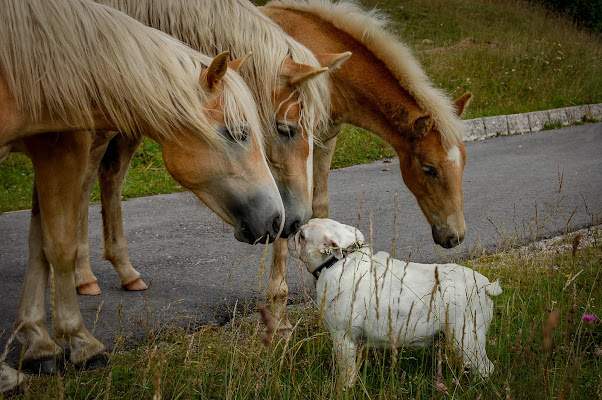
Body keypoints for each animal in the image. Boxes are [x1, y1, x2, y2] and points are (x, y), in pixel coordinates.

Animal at [0, 0, 282, 388]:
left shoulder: (52, 147)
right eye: (239, 132)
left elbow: (39, 244)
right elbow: (59, 246)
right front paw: (79, 343)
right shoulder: (64, 149)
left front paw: (40, 345)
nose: (279, 219)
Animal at [258, 0, 474, 332]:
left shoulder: (325, 140)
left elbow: (318, 206)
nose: (455, 237)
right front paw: (280, 323)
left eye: (463, 163)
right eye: (428, 168)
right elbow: (287, 215)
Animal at [288, 219, 500, 388]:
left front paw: (343, 389)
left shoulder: (343, 339)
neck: (340, 262)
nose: (293, 228)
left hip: (467, 340)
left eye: (302, 236)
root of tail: (486, 286)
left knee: (486, 368)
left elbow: (346, 371)